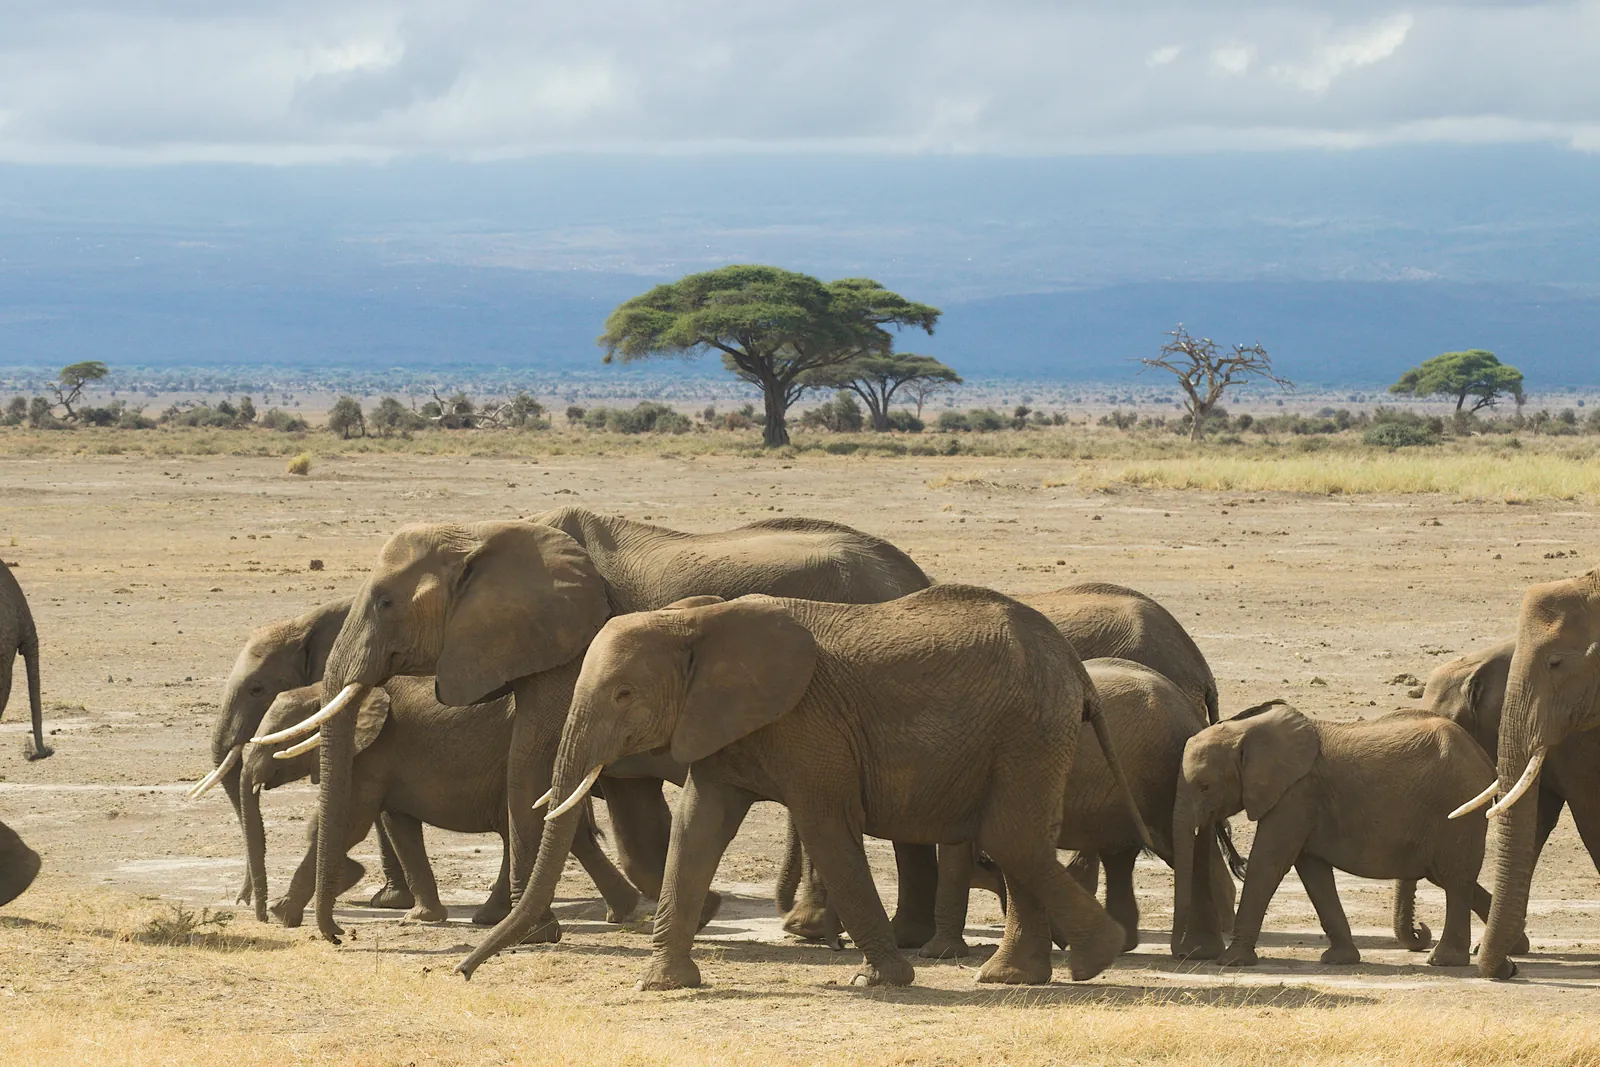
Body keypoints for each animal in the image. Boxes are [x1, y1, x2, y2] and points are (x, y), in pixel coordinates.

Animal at [242, 678, 634, 928]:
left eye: (279, 739)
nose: (255, 912)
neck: (326, 691)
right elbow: (398, 825)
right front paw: (420, 918)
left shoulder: (372, 752)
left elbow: (351, 821)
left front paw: (282, 914)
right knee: (565, 834)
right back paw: (625, 912)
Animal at [456, 585, 1152, 990]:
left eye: (624, 695)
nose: (462, 973)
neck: (698, 621)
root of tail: (1075, 667)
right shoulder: (722, 723)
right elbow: (698, 827)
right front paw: (663, 984)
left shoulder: (809, 726)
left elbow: (826, 827)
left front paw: (882, 982)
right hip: (1030, 731)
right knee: (1018, 842)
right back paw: (1015, 978)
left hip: (1027, 728)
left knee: (1010, 838)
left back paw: (1094, 959)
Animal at [920, 658, 1233, 960]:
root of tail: (1190, 712)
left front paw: (936, 953)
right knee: (1125, 852)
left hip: (1160, 777)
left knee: (1178, 849)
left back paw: (1197, 948)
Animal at [1174, 702, 1494, 968]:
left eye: (1205, 786)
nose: (1186, 954)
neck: (1246, 729)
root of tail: (1483, 755)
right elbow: (1312, 871)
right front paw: (1339, 959)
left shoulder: (1295, 794)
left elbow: (1268, 864)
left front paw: (1231, 961)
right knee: (1451, 876)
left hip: (1458, 805)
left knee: (1455, 879)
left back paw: (1444, 960)